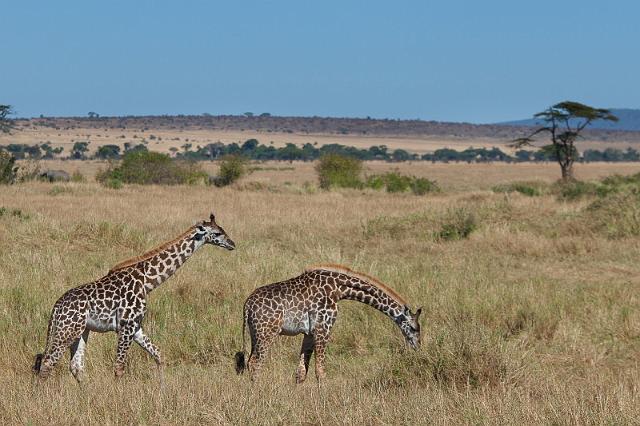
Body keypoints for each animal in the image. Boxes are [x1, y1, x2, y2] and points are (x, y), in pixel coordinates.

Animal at [32, 211, 235, 382]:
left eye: (223, 230)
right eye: (217, 233)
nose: (233, 244)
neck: (147, 282)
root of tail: (56, 307)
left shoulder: (136, 326)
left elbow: (159, 355)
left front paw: (163, 390)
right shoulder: (126, 326)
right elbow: (119, 367)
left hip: (80, 331)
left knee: (76, 366)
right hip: (67, 330)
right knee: (47, 362)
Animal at [232, 262, 422, 382]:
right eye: (414, 328)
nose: (418, 347)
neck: (339, 289)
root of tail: (247, 305)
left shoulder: (309, 333)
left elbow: (301, 372)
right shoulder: (324, 328)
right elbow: (320, 371)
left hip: (254, 334)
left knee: (249, 362)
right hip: (267, 333)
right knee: (255, 363)